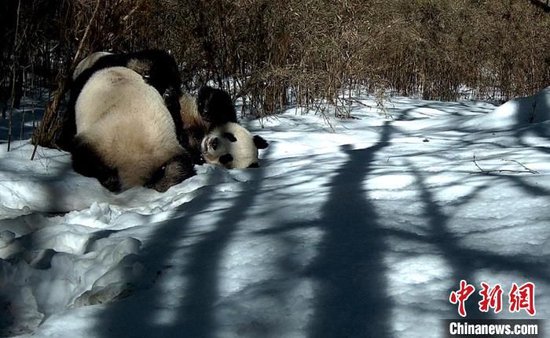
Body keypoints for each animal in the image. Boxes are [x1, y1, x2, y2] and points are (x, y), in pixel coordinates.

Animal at [66, 49, 268, 193]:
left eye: (227, 158)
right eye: (231, 137)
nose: (213, 143)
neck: (200, 135)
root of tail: (133, 168)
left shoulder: (193, 151)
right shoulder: (199, 115)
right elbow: (217, 102)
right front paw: (206, 103)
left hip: (108, 141)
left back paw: (108, 176)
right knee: (155, 61)